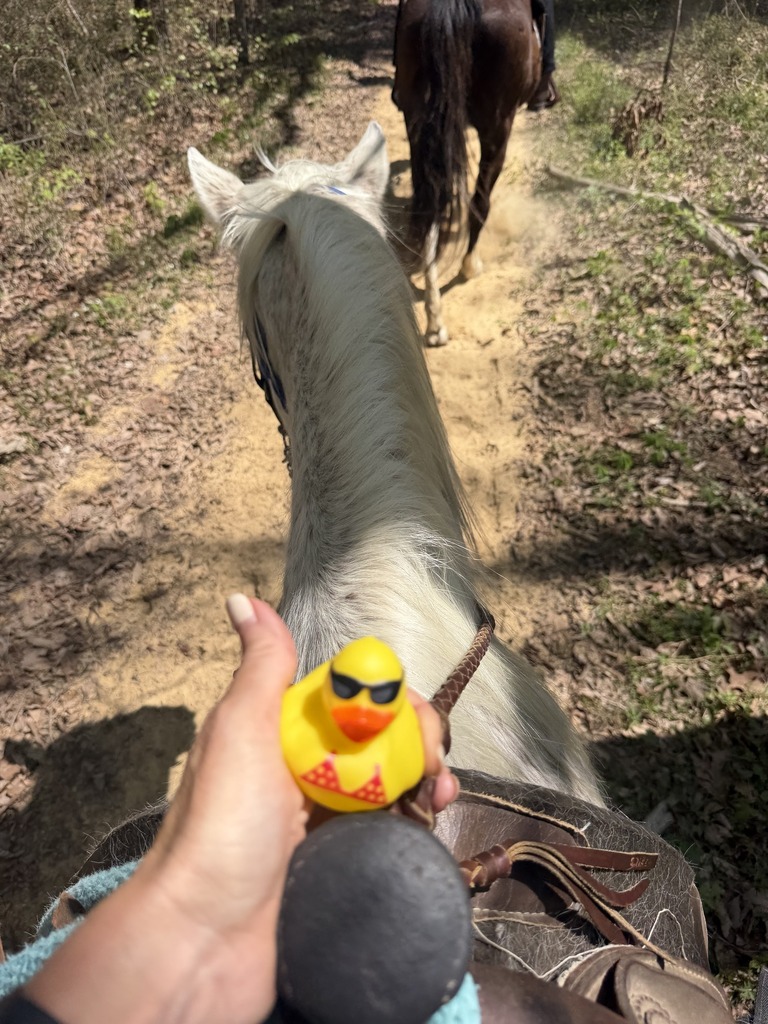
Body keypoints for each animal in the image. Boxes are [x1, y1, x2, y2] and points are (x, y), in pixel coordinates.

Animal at [393, 0, 541, 345]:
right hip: (498, 128)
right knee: (479, 203)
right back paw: (469, 266)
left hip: (417, 119)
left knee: (429, 203)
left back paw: (434, 318)